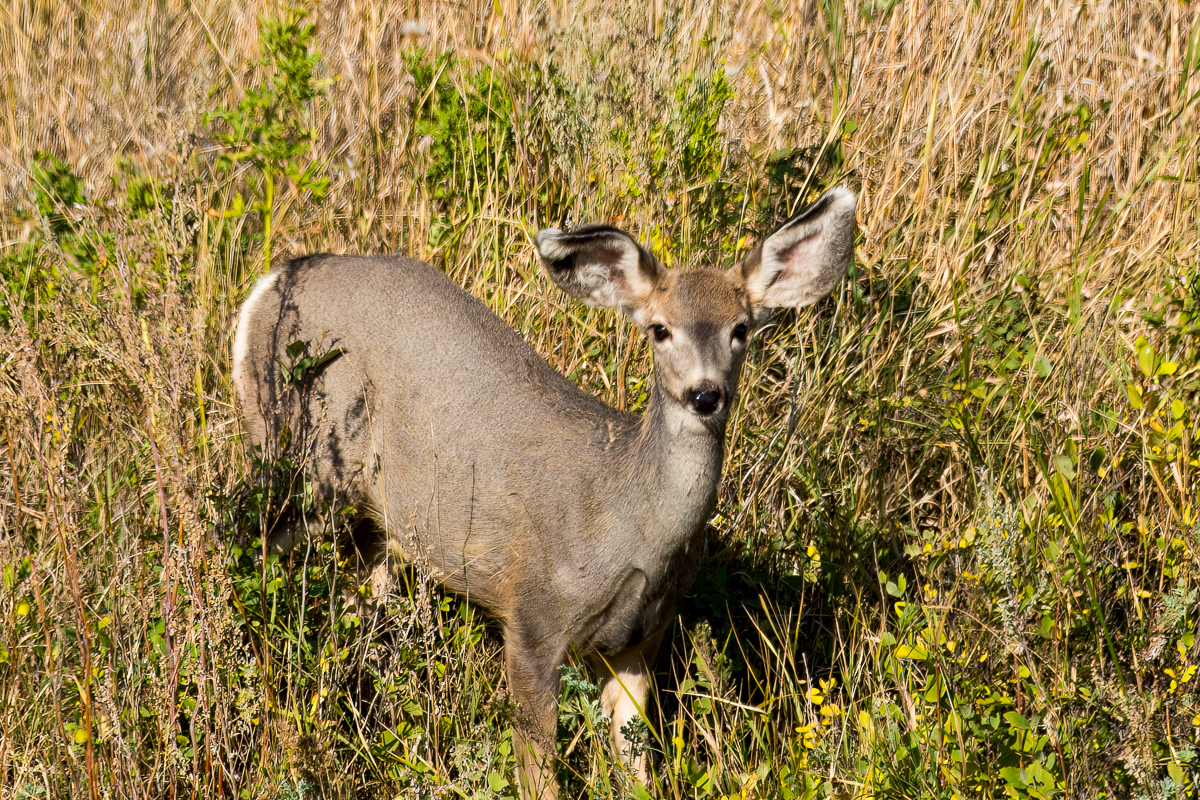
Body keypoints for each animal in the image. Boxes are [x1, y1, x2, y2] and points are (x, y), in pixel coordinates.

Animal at [231, 187, 856, 798]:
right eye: (659, 329)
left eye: (741, 329)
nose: (705, 395)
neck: (628, 524)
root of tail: (269, 284)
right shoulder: (532, 616)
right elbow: (538, 773)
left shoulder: (640, 643)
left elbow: (636, 766)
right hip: (303, 458)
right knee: (240, 536)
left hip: (380, 521)